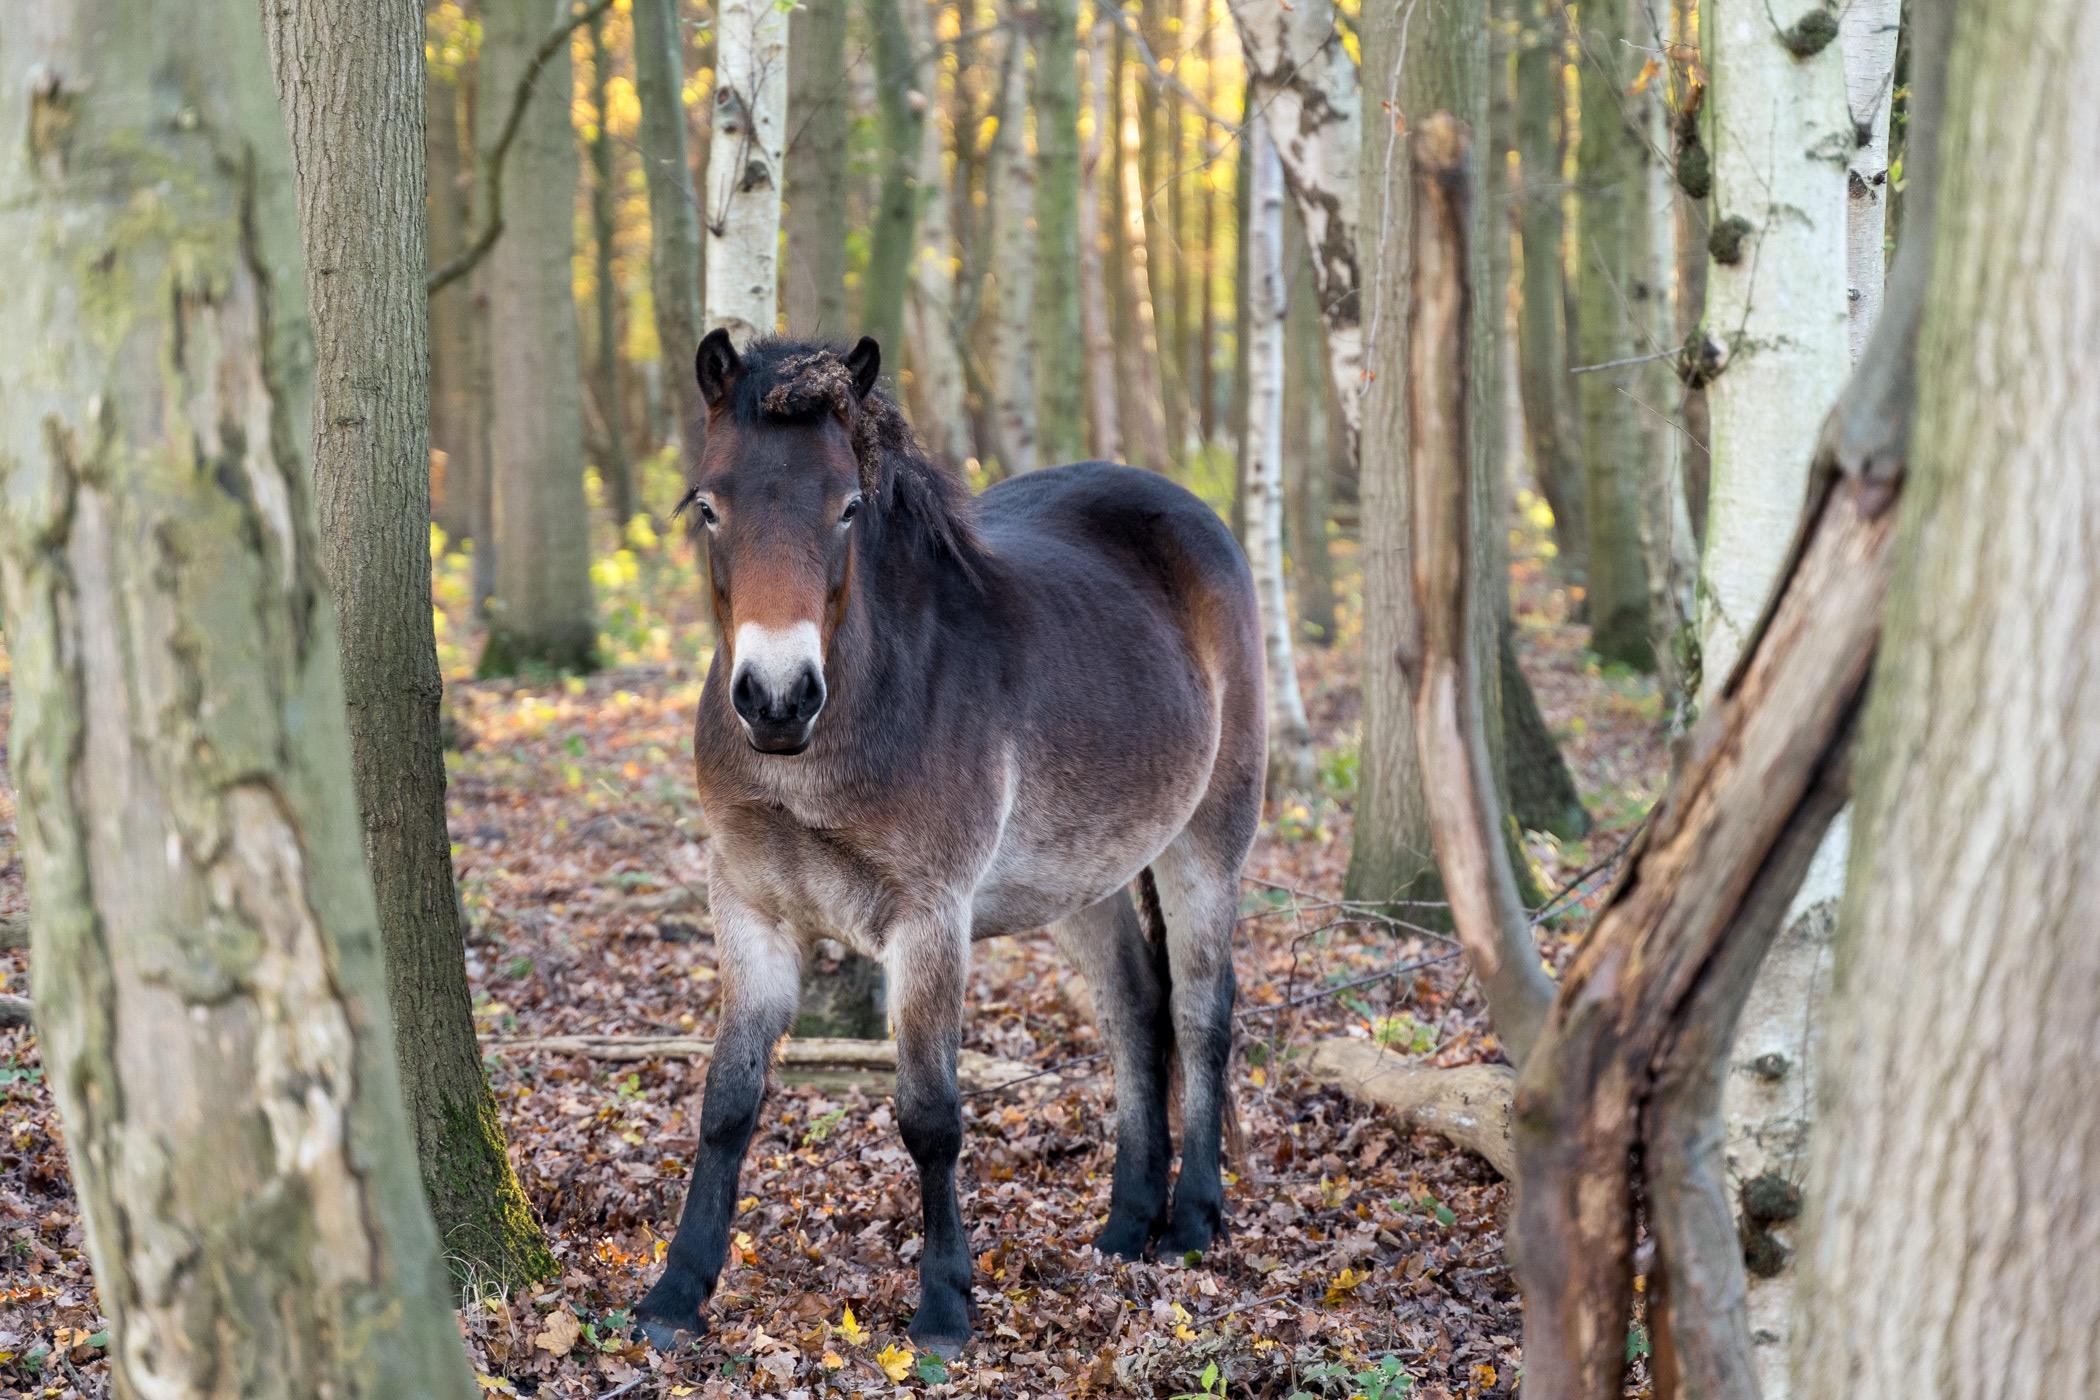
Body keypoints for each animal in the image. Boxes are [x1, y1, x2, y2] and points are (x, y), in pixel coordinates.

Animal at [634, 331, 1265, 1356]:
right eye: (709, 504)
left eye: (848, 506)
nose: (777, 697)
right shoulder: (749, 909)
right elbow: (727, 1100)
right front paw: (674, 1294)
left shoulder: (929, 919)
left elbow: (929, 1115)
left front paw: (941, 1306)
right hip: (1084, 875)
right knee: (1136, 1012)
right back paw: (1127, 1222)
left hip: (1206, 839)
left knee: (1203, 1011)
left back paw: (1194, 1221)